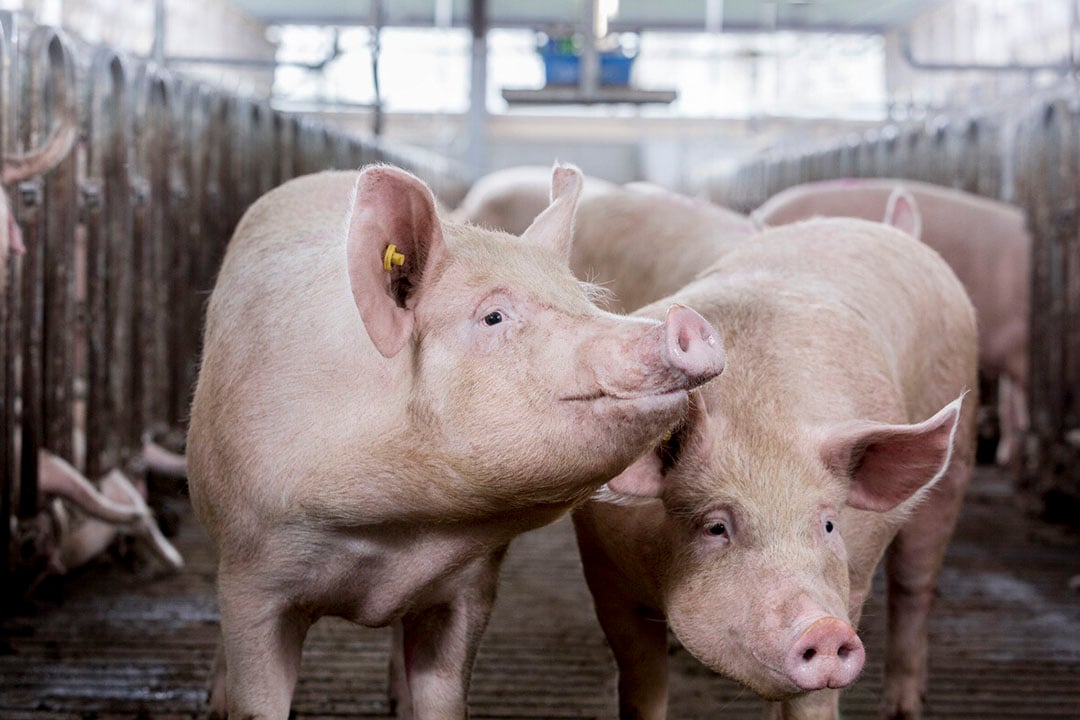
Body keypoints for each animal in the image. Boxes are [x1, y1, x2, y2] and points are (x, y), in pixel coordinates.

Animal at [185, 162, 725, 720]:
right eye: (493, 316)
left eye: (583, 299)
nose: (685, 320)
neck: (400, 530)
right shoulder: (254, 572)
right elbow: (257, 694)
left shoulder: (469, 589)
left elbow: (444, 692)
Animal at [570, 197, 976, 720]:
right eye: (716, 526)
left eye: (828, 524)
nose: (824, 628)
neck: (760, 424)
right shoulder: (606, 573)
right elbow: (642, 687)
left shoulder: (848, 587)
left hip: (957, 460)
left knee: (913, 584)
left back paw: (904, 708)